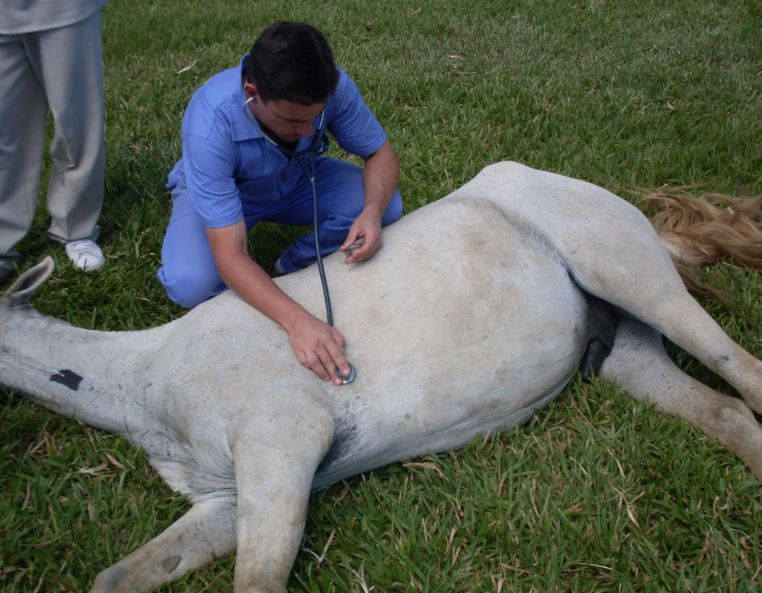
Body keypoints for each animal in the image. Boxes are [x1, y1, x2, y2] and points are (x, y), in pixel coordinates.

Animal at [4, 162, 760, 592]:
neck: (152, 379)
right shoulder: (224, 502)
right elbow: (116, 578)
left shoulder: (282, 450)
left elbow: (258, 582)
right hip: (624, 351)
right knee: (728, 414)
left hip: (630, 276)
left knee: (744, 373)